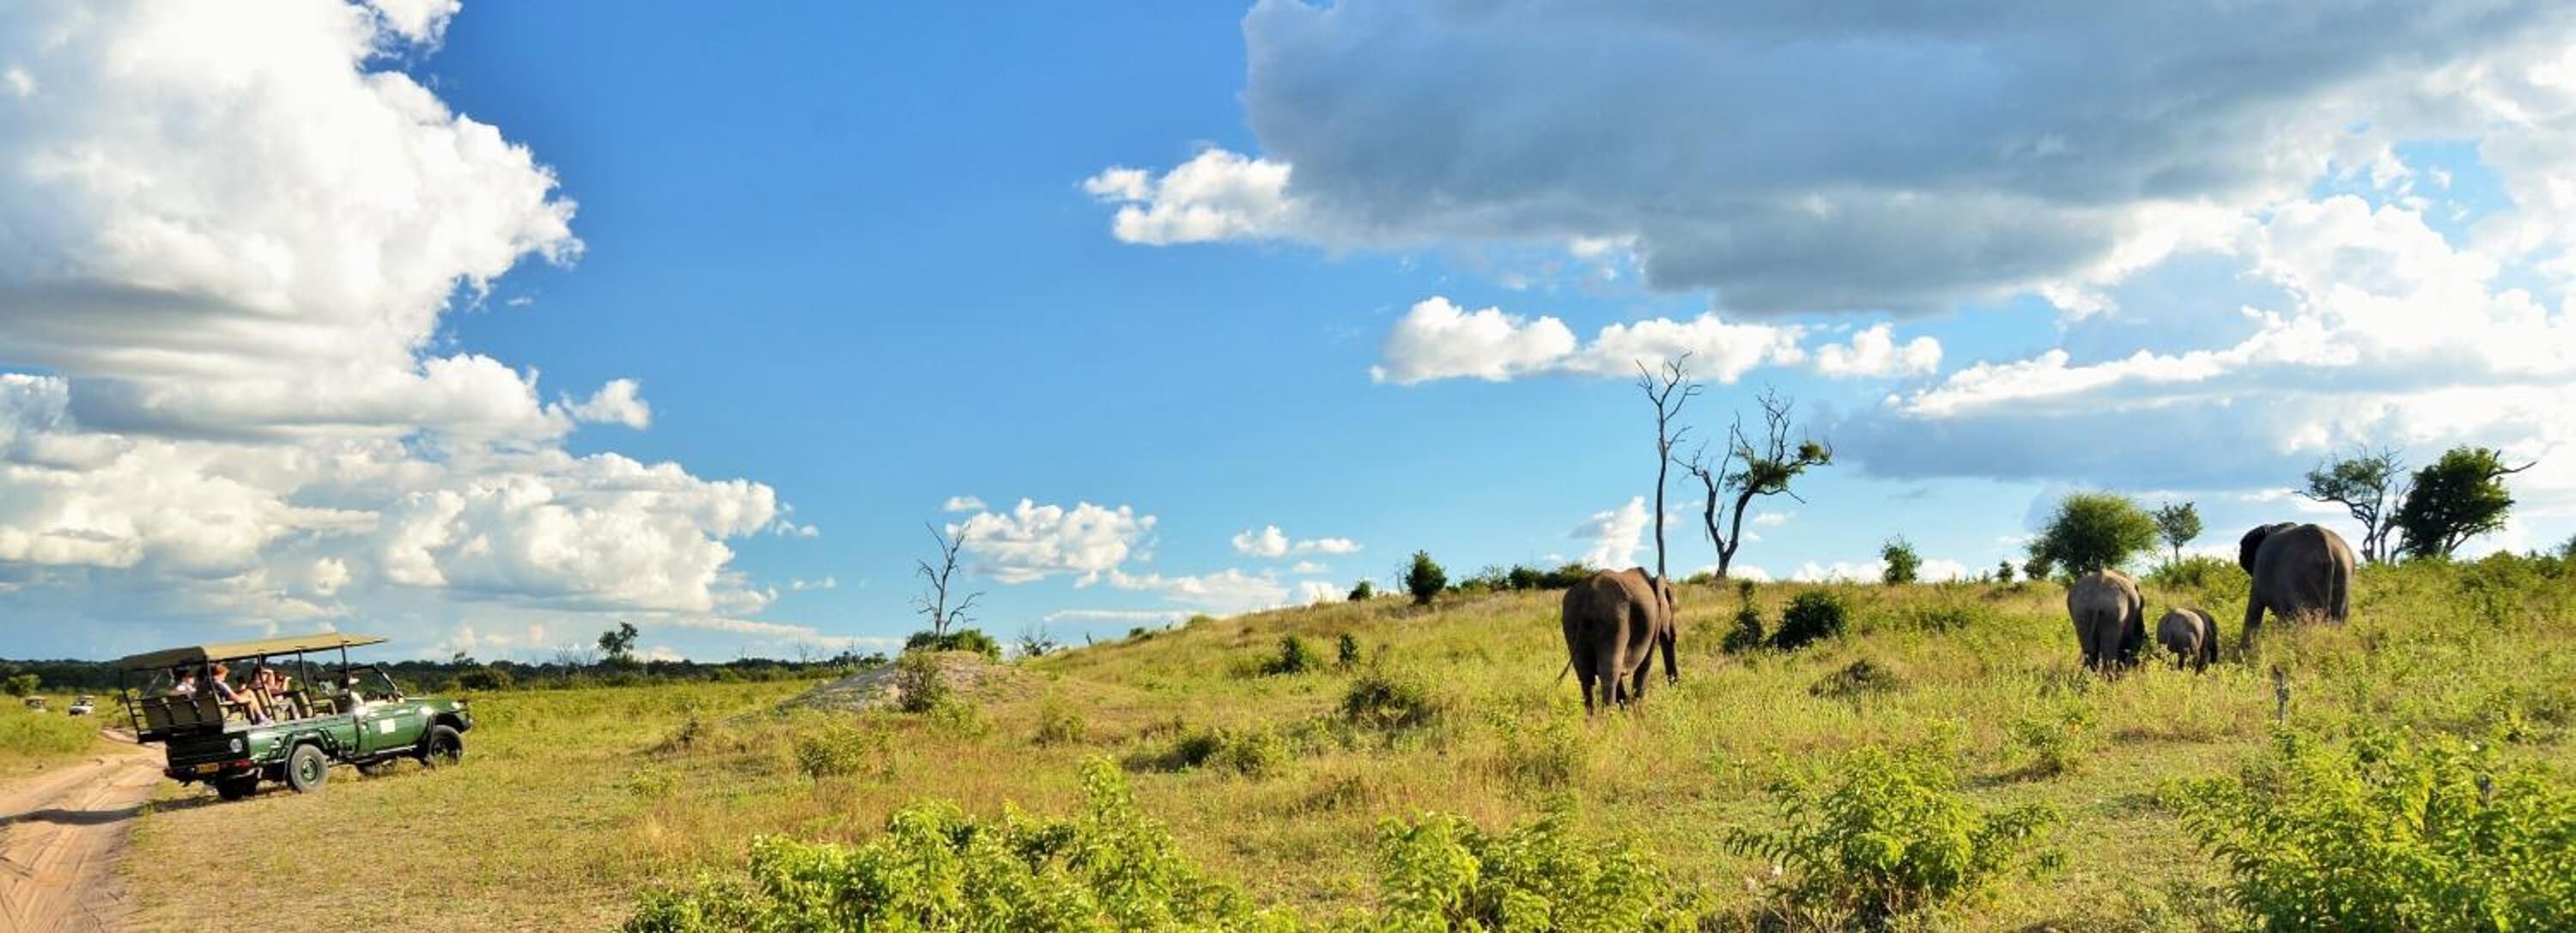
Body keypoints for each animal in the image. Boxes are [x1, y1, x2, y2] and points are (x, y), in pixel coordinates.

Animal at [1560, 568, 1677, 714]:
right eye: (1673, 609)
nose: (1674, 689)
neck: (1655, 579)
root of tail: (1588, 598)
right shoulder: (1654, 623)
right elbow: (1645, 665)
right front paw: (1636, 712)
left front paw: (1625, 709)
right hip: (1614, 620)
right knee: (1609, 672)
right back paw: (1608, 718)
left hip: (1570, 620)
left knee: (1585, 674)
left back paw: (1592, 719)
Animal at [2237, 522, 2356, 640]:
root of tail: (2326, 545)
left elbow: (2254, 610)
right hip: (2343, 569)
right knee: (2339, 618)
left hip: (2302, 574)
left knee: (2303, 620)